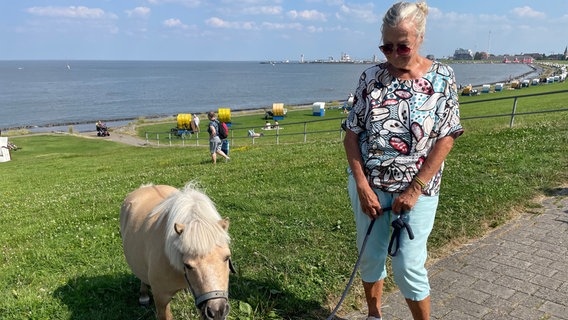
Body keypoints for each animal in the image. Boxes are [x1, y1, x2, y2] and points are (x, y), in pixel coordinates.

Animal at [121, 182, 234, 320]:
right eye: (188, 265)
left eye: (227, 257)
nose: (217, 311)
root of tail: (145, 187)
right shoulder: (161, 298)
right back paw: (144, 295)